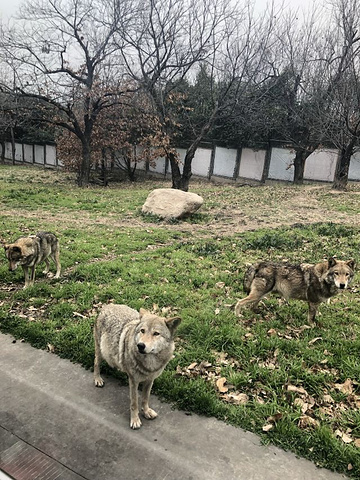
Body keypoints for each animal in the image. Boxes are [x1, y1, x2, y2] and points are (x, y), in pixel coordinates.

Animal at [93, 302, 181, 430]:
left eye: (156, 333)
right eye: (142, 331)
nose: (140, 345)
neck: (149, 364)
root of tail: (108, 305)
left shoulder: (150, 380)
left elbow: (145, 399)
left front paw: (146, 412)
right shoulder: (134, 381)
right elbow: (134, 403)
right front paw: (135, 420)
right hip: (101, 352)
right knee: (95, 363)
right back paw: (97, 379)